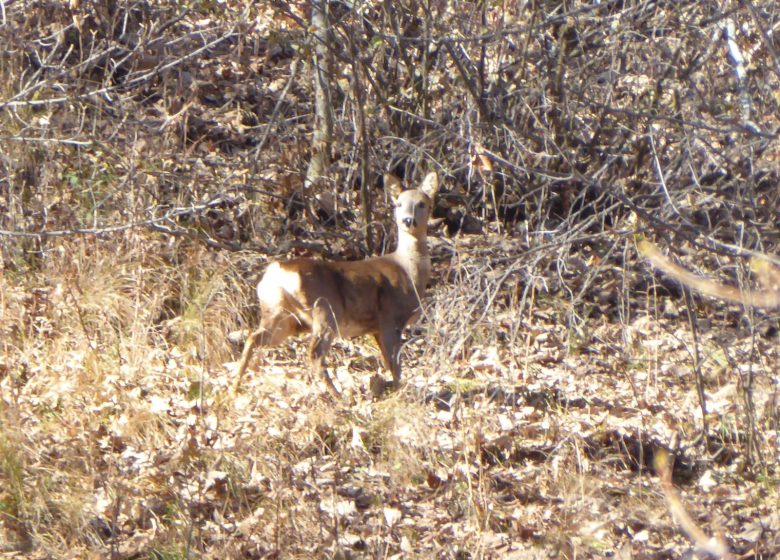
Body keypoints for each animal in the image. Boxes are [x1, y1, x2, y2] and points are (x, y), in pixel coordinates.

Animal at [232, 173, 438, 396]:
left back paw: (234, 387)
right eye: (399, 204)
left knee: (254, 338)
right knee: (314, 352)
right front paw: (401, 394)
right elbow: (396, 365)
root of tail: (277, 271)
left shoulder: (376, 327)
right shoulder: (390, 318)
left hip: (281, 314)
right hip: (325, 309)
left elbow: (389, 363)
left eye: (422, 203)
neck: (409, 270)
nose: (408, 220)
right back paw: (339, 397)